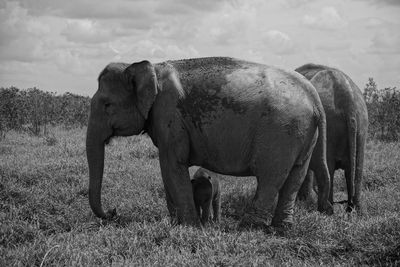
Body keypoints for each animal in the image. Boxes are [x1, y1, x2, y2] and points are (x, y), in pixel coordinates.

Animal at [86, 56, 332, 230]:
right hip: (303, 134)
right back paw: (282, 228)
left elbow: (172, 165)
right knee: (295, 176)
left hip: (281, 133)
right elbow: (168, 170)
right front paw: (176, 223)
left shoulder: (169, 116)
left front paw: (188, 226)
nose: (113, 212)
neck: (150, 67)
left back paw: (249, 227)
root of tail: (314, 97)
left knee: (270, 178)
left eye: (107, 105)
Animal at [294, 63, 368, 213]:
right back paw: (355, 210)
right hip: (360, 126)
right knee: (356, 169)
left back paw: (328, 208)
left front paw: (302, 203)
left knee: (331, 168)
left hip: (331, 124)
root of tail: (349, 102)